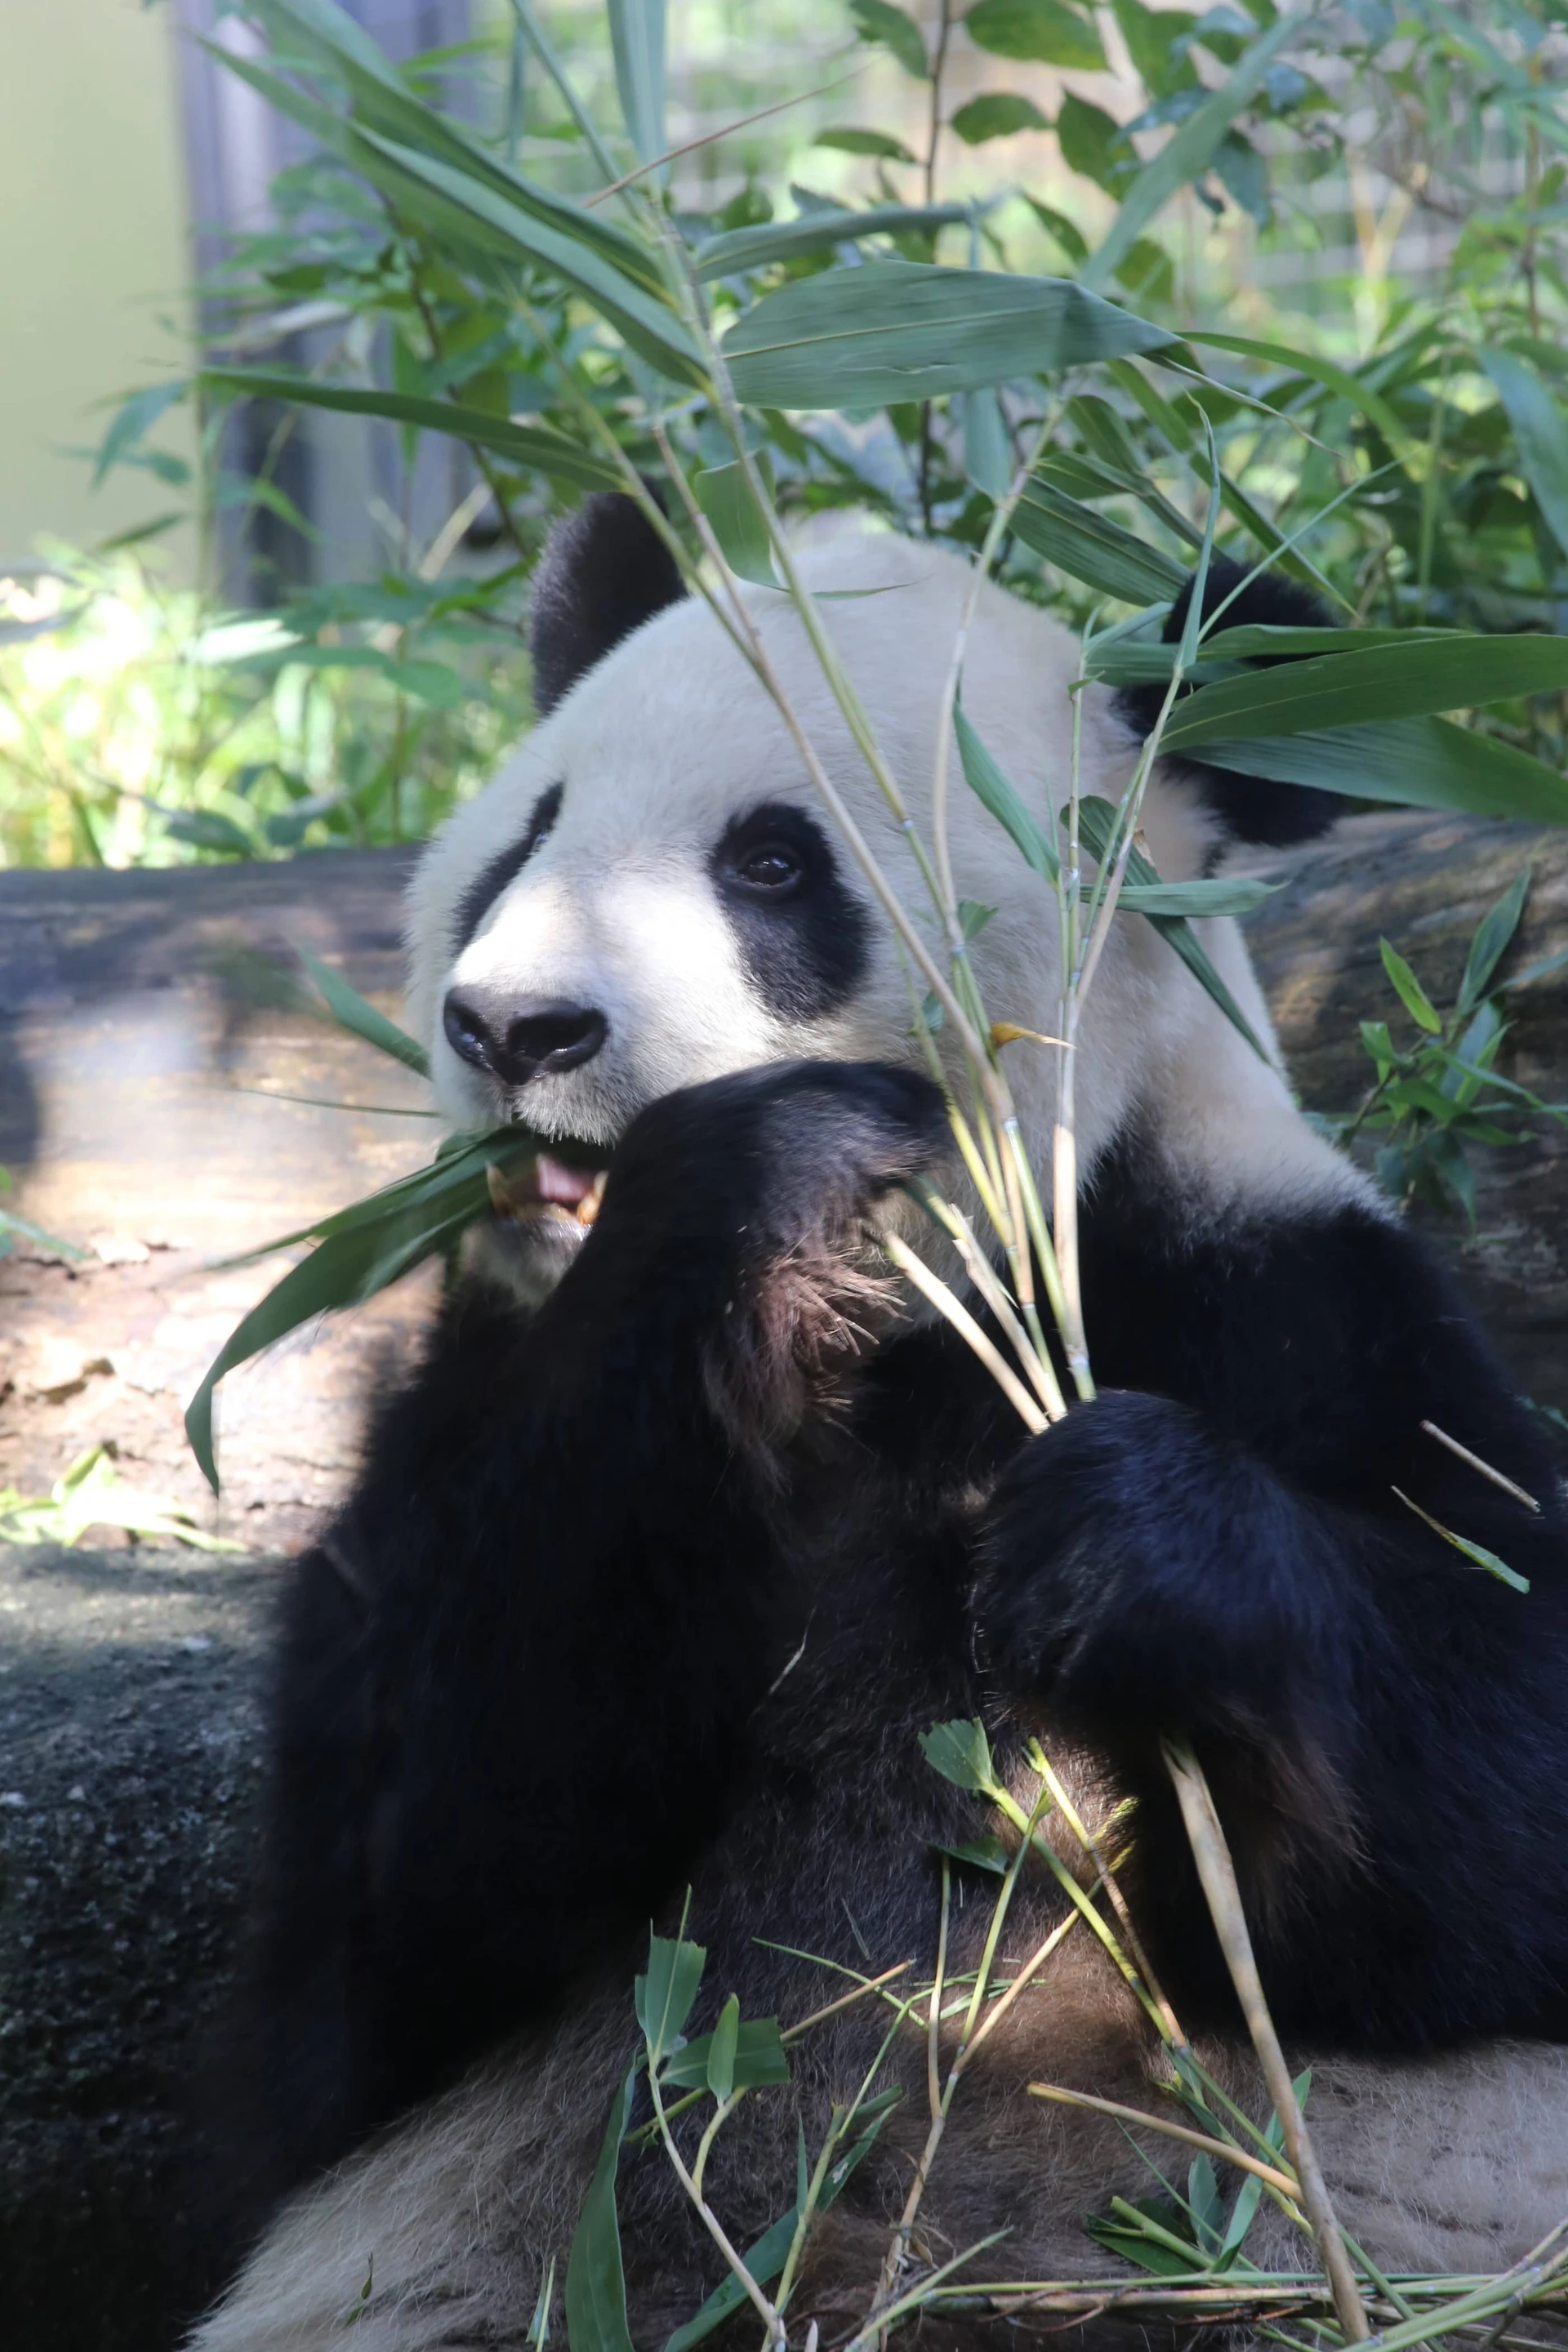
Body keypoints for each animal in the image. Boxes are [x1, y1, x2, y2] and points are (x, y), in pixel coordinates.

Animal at [191, 501, 1568, 2352]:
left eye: (773, 865)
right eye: (529, 832)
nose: (515, 1029)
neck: (921, 1317)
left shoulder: (1276, 1291)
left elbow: (1506, 1764)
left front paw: (1127, 1546)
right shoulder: (471, 1394)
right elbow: (382, 1937)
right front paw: (755, 1177)